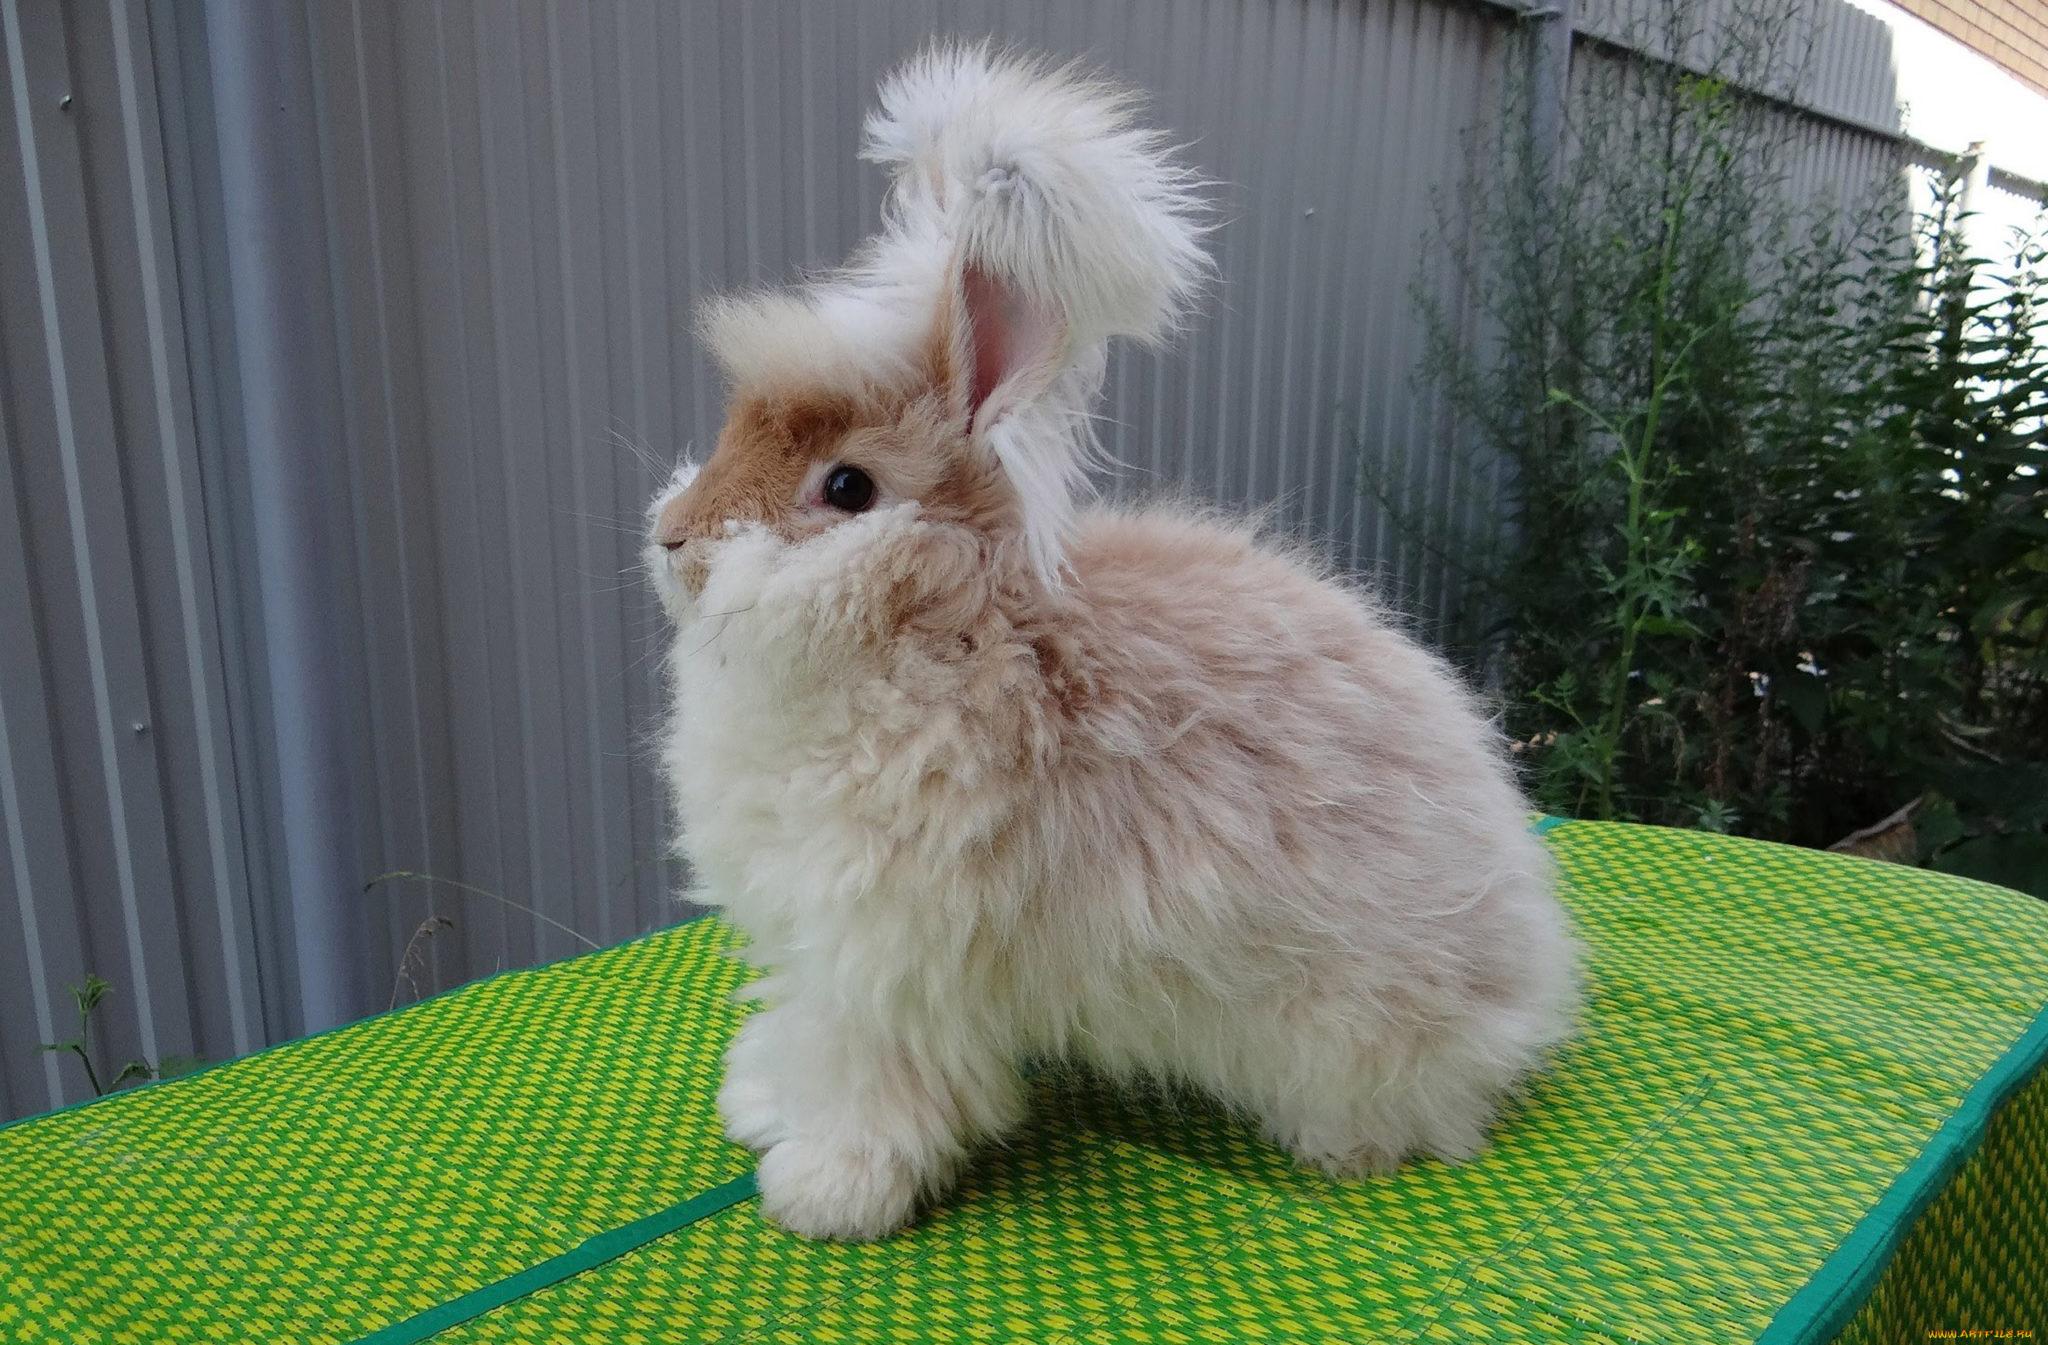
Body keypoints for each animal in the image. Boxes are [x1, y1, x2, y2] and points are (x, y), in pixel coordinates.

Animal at [647, 49, 1572, 1236]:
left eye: (846, 488)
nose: (674, 538)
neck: (949, 631)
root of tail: (1528, 976)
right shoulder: (809, 944)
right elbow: (797, 1031)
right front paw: (760, 1106)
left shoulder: (888, 960)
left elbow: (871, 1077)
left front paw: (825, 1191)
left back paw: (1349, 1148)